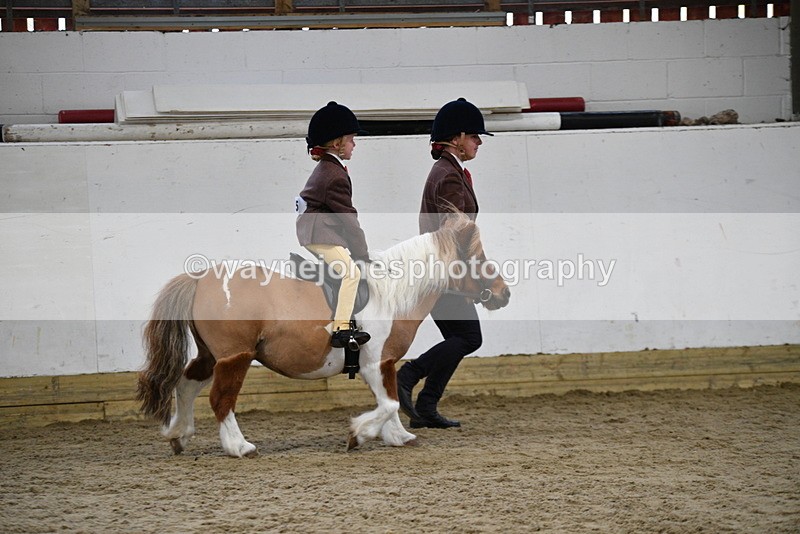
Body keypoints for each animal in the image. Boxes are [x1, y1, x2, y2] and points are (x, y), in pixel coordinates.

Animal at [136, 212, 511, 457]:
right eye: (477, 257)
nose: (504, 293)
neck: (391, 292)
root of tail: (201, 279)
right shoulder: (374, 363)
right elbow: (388, 403)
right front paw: (359, 435)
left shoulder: (384, 363)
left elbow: (388, 401)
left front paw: (398, 437)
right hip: (234, 357)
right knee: (220, 400)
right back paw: (238, 447)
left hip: (211, 355)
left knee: (186, 385)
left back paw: (179, 435)